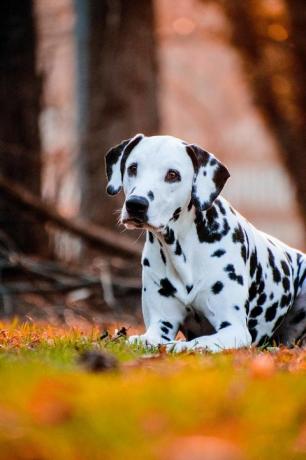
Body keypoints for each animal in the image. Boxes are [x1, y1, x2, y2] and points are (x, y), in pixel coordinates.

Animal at [106, 133, 306, 352]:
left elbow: (198, 342)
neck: (183, 250)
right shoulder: (160, 324)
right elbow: (146, 338)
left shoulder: (234, 329)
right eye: (133, 168)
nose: (136, 204)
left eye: (172, 174)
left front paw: (179, 346)